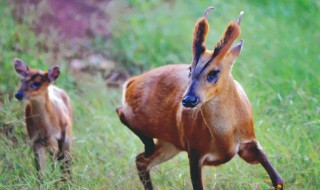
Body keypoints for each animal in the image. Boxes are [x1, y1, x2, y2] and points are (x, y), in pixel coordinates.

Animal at [116, 6, 284, 190]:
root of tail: (131, 82)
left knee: (141, 160)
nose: (188, 100)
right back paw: (147, 144)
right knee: (122, 114)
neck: (224, 139)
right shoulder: (195, 152)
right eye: (190, 69)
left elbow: (277, 179)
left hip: (170, 144)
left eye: (214, 73)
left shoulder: (248, 143)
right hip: (147, 124)